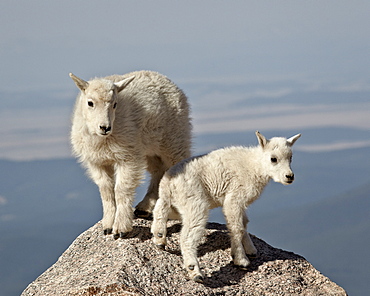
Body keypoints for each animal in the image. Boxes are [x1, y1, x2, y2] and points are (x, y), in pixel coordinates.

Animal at [70, 70, 191, 239]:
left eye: (115, 104)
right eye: (90, 103)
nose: (105, 127)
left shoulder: (128, 157)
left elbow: (121, 189)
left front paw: (121, 229)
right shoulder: (97, 162)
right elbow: (106, 190)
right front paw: (107, 226)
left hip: (174, 139)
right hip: (150, 148)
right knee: (158, 171)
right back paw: (144, 208)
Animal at [150, 132, 300, 282]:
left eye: (291, 157)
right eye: (273, 159)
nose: (289, 177)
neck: (254, 166)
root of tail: (169, 182)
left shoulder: (241, 204)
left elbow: (244, 223)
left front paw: (251, 250)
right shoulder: (234, 199)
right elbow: (237, 228)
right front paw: (240, 260)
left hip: (173, 202)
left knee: (159, 210)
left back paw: (159, 239)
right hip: (195, 203)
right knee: (187, 236)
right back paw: (195, 271)